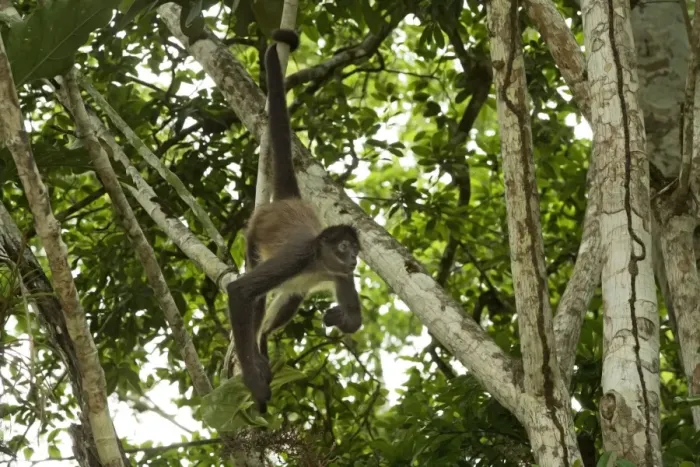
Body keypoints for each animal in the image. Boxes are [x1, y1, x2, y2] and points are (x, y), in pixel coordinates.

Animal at [226, 29, 363, 413]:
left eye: (356, 250)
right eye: (344, 246)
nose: (353, 258)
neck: (318, 261)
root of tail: (289, 200)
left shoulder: (339, 273)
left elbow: (353, 316)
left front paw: (341, 319)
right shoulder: (299, 256)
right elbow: (239, 292)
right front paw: (254, 383)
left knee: (288, 299)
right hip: (254, 239)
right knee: (256, 297)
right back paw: (254, 355)